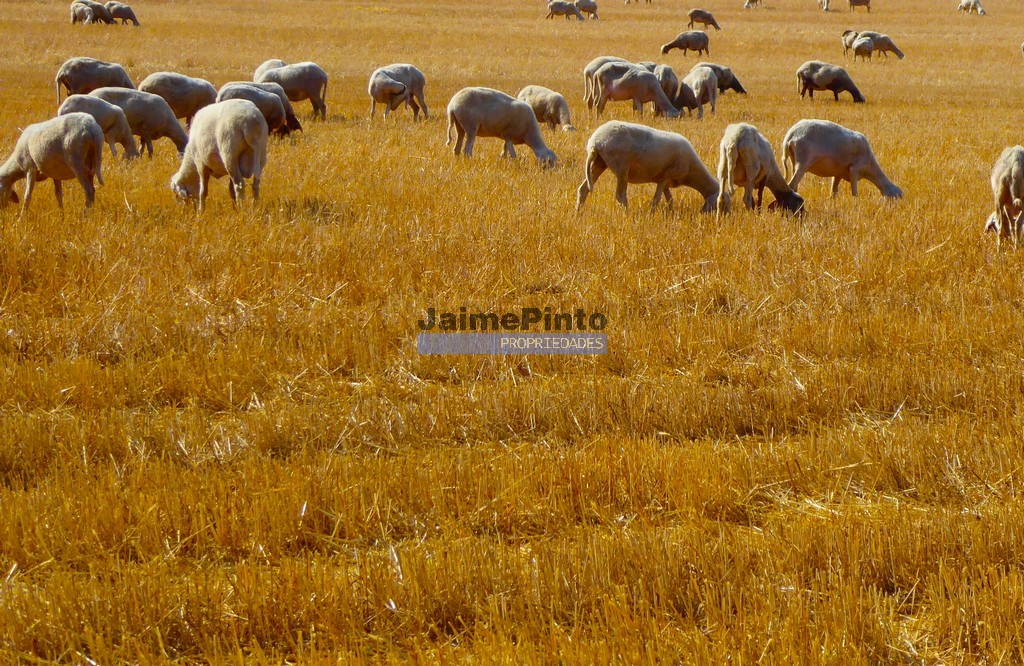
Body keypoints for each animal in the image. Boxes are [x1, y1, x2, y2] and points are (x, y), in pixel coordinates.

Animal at [577, 119, 720, 211]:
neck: (691, 171)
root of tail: (595, 140)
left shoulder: (664, 180)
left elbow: (670, 199)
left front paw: (671, 213)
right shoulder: (666, 176)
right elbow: (657, 198)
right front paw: (651, 213)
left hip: (599, 162)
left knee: (583, 189)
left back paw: (578, 212)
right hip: (621, 166)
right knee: (620, 196)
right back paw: (627, 215)